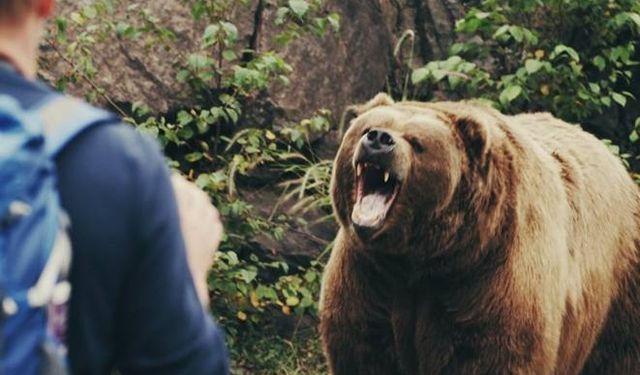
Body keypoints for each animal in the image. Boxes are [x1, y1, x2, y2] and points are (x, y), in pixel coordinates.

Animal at [320, 92, 640, 374]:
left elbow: (491, 354)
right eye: (366, 128)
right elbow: (364, 347)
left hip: (618, 290)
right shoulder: (369, 274)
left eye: (417, 142)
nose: (378, 139)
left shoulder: (492, 275)